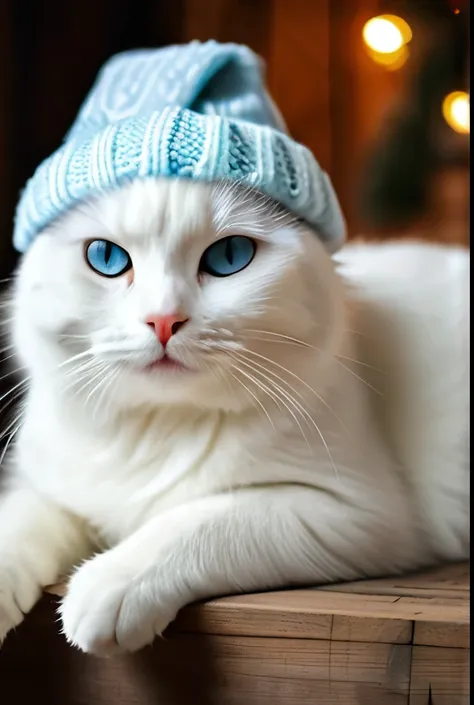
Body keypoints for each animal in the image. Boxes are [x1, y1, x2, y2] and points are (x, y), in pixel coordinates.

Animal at [0, 177, 468, 656]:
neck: (160, 426)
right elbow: (16, 525)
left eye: (229, 256)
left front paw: (111, 582)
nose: (163, 320)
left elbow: (197, 520)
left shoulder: (355, 512)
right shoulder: (46, 487)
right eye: (106, 258)